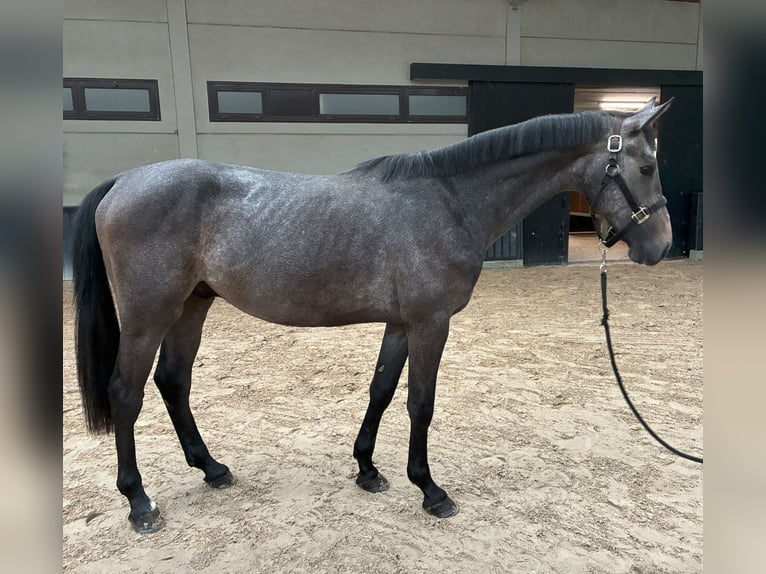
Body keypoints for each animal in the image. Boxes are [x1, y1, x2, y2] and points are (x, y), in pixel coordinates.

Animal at [72, 98, 673, 533]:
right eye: (646, 166)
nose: (661, 246)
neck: (450, 201)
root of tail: (123, 182)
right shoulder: (431, 322)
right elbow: (420, 403)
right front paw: (430, 490)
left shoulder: (401, 323)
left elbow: (381, 390)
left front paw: (367, 469)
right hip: (150, 314)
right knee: (127, 392)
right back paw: (139, 501)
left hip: (192, 305)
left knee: (174, 381)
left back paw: (213, 469)